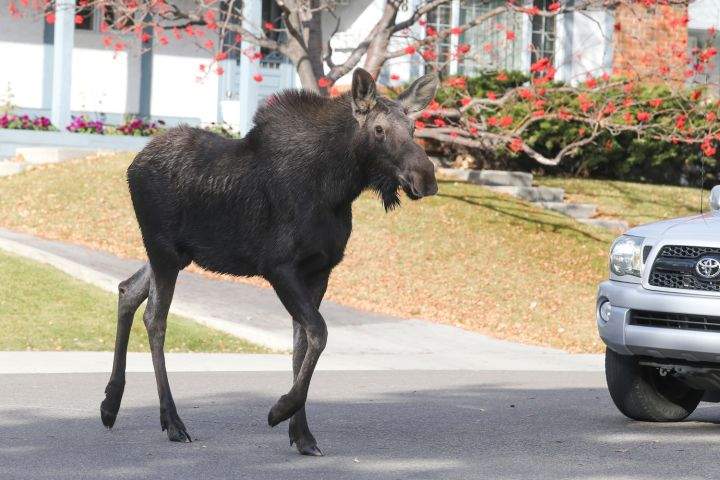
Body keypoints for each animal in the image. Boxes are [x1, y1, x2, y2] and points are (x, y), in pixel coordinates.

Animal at [100, 68, 439, 456]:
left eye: (413, 128)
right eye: (379, 129)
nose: (426, 177)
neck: (337, 188)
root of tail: (133, 165)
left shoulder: (320, 270)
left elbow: (303, 341)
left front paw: (302, 434)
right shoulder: (278, 266)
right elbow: (319, 332)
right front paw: (281, 409)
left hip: (175, 254)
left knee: (127, 290)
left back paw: (110, 405)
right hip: (163, 251)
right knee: (155, 317)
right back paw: (172, 421)